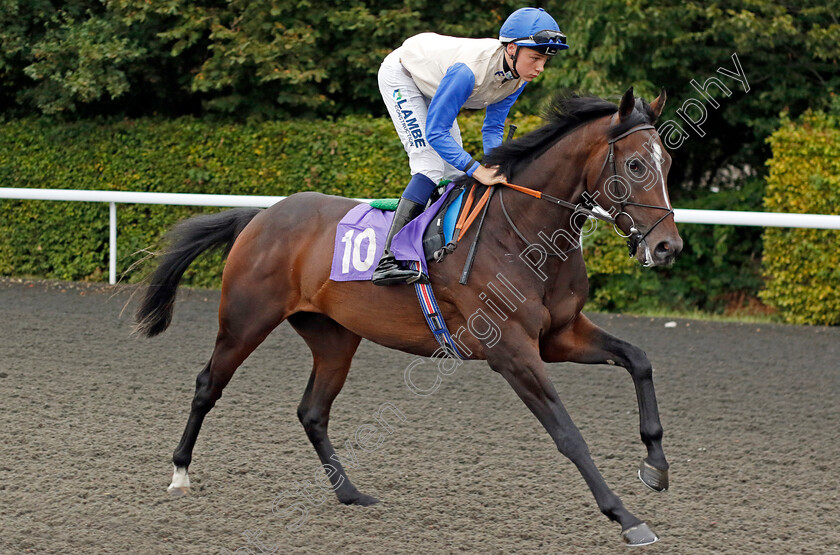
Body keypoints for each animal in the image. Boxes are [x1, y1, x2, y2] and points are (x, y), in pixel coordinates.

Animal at [136, 88, 684, 548]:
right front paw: (626, 517)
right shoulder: (511, 351)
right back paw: (180, 473)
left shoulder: (560, 335)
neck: (523, 235)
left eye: (668, 162)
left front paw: (655, 466)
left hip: (334, 337)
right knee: (208, 385)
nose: (667, 247)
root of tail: (262, 216)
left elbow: (639, 359)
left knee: (312, 411)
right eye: (636, 164)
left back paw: (349, 493)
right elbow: (568, 434)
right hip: (245, 320)